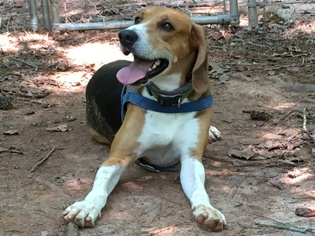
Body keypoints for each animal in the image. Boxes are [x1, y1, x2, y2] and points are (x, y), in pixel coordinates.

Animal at [63, 6, 227, 232]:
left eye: (167, 25)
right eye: (137, 18)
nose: (125, 35)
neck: (167, 101)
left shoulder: (191, 158)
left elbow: (199, 187)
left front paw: (207, 209)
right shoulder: (119, 156)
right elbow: (101, 182)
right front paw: (86, 206)